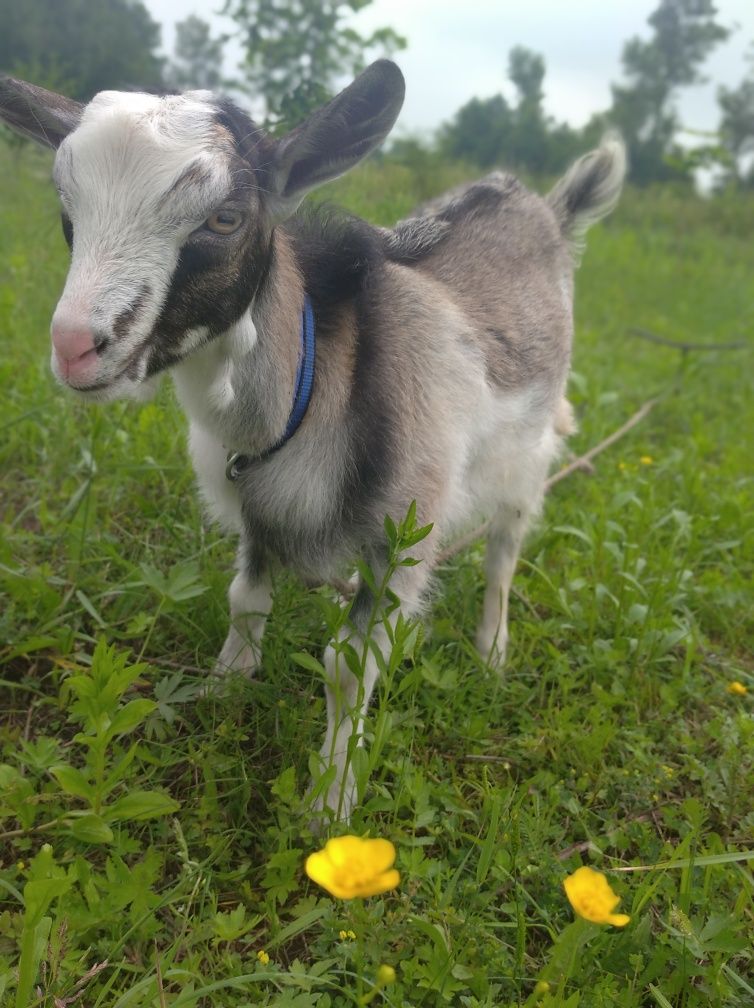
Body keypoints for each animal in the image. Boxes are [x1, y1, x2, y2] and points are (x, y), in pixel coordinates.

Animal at [0, 60, 624, 818]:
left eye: (225, 217)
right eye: (69, 209)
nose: (75, 348)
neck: (317, 379)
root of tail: (547, 211)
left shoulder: (403, 533)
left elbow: (349, 667)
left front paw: (330, 802)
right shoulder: (255, 503)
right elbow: (245, 600)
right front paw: (224, 687)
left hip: (526, 456)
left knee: (504, 552)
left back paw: (492, 651)